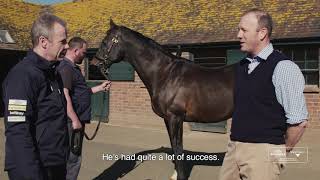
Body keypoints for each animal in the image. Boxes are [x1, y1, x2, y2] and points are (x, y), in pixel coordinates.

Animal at [94, 20, 236, 180]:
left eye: (105, 42)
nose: (95, 63)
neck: (166, 74)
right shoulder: (168, 119)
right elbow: (174, 147)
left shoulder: (175, 118)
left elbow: (178, 148)